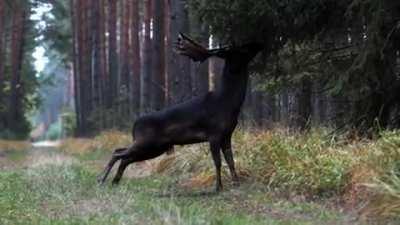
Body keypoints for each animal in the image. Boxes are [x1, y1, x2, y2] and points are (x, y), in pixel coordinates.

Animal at [98, 33, 264, 192]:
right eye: (241, 49)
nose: (258, 42)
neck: (229, 103)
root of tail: (135, 125)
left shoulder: (227, 134)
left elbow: (231, 161)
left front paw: (236, 184)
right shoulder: (214, 134)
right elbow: (217, 162)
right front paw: (218, 187)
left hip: (155, 147)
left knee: (124, 156)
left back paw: (114, 182)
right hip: (147, 142)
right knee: (117, 153)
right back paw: (101, 179)